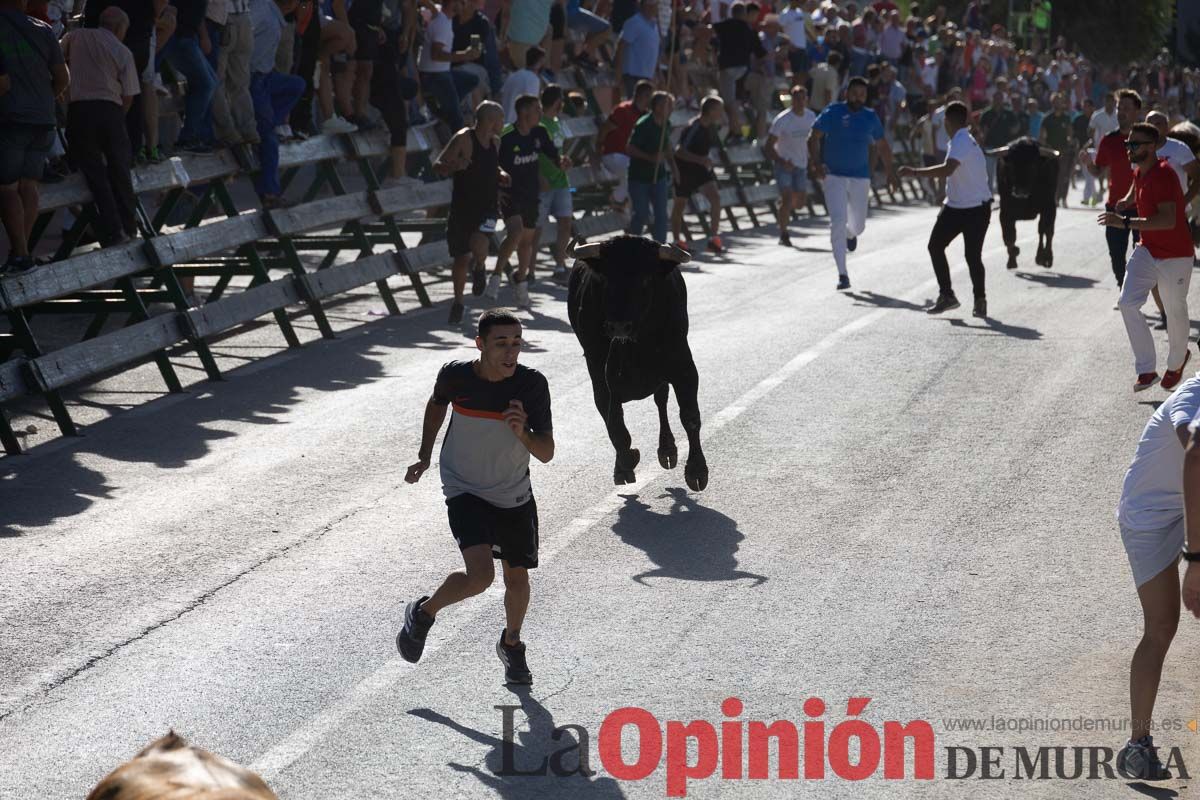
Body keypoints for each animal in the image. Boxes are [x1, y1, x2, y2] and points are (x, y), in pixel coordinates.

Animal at [566, 235, 705, 491]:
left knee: (661, 400)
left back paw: (667, 450)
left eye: (645, 279)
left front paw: (696, 471)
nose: (619, 326)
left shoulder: (684, 366)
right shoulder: (605, 375)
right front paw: (624, 463)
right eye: (606, 279)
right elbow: (614, 421)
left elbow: (690, 416)